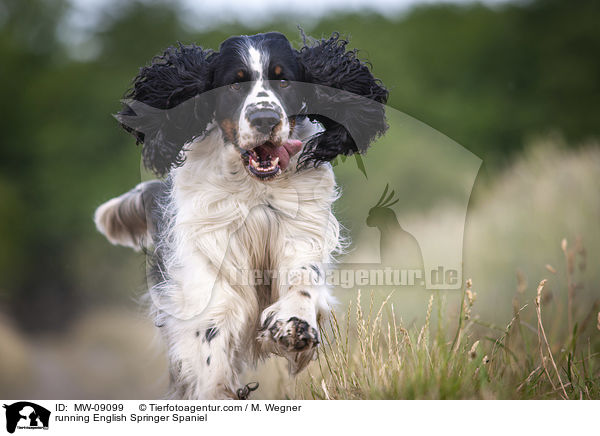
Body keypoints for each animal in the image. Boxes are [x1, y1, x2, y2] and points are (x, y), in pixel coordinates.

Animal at [92, 31, 386, 398]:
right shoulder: (211, 252)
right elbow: (213, 331)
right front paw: (217, 387)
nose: (265, 119)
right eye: (234, 84)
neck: (254, 186)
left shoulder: (299, 229)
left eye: (284, 80)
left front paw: (295, 326)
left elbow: (303, 277)